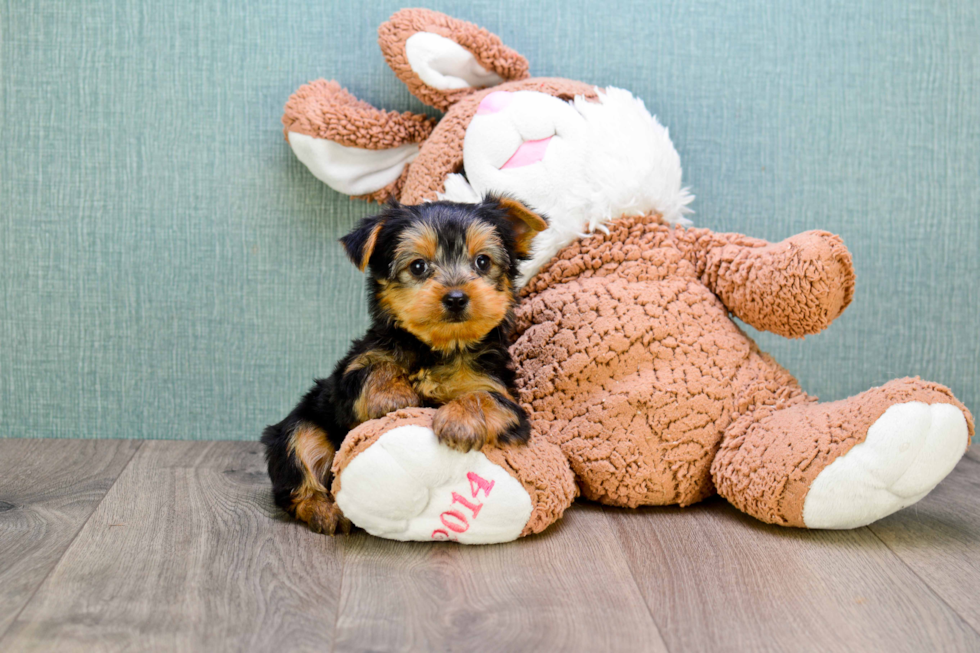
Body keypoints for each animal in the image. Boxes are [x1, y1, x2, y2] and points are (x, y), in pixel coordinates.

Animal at [260, 196, 548, 532]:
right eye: (418, 266)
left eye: (483, 262)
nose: (456, 297)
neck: (436, 348)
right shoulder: (351, 374)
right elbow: (372, 369)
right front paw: (393, 396)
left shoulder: (503, 394)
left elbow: (486, 397)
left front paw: (460, 420)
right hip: (302, 425)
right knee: (296, 462)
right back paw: (323, 509)